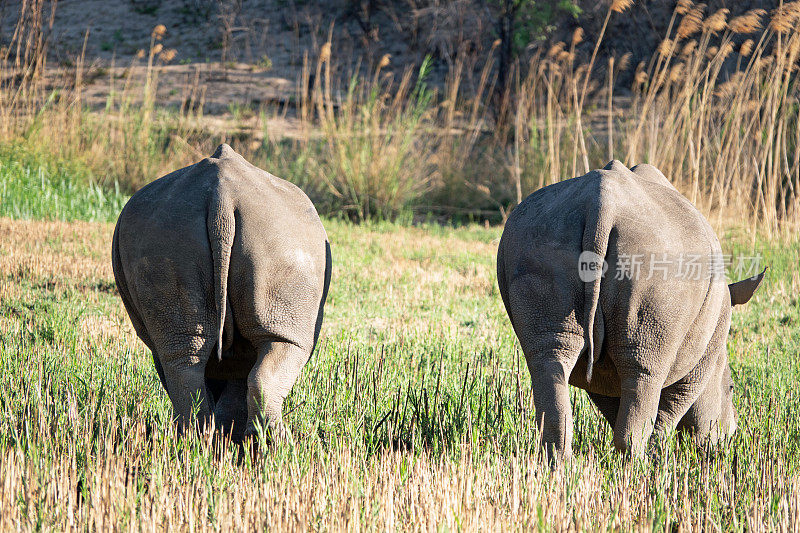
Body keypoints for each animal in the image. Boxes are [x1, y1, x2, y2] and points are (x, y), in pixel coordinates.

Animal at [111, 144, 330, 440]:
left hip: (179, 235)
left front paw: (228, 435)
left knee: (186, 355)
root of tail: (222, 197)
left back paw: (202, 441)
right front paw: (230, 435)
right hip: (273, 235)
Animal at [496, 159, 764, 458]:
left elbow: (615, 401)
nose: (729, 436)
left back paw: (559, 462)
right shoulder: (705, 353)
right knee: (644, 371)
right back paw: (636, 464)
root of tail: (602, 203)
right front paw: (659, 454)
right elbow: (673, 405)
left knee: (550, 357)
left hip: (537, 237)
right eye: (731, 388)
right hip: (658, 258)